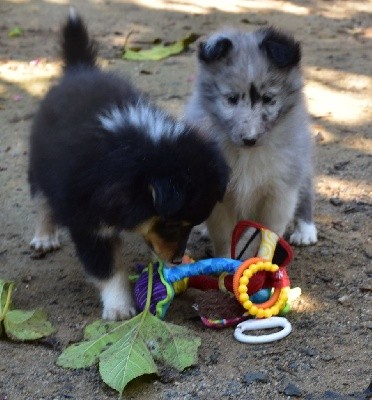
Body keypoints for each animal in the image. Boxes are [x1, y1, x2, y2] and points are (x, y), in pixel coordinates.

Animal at [29, 10, 230, 320]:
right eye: (172, 223)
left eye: (192, 225)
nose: (176, 259)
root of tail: (78, 69)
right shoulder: (88, 222)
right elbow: (107, 268)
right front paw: (119, 307)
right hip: (40, 163)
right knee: (42, 198)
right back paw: (44, 235)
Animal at [186, 27, 316, 256]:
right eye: (231, 99)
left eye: (268, 99)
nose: (249, 139)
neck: (248, 155)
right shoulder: (221, 197)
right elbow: (224, 237)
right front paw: (224, 261)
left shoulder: (280, 192)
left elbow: (267, 234)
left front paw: (263, 260)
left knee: (306, 187)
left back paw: (305, 229)